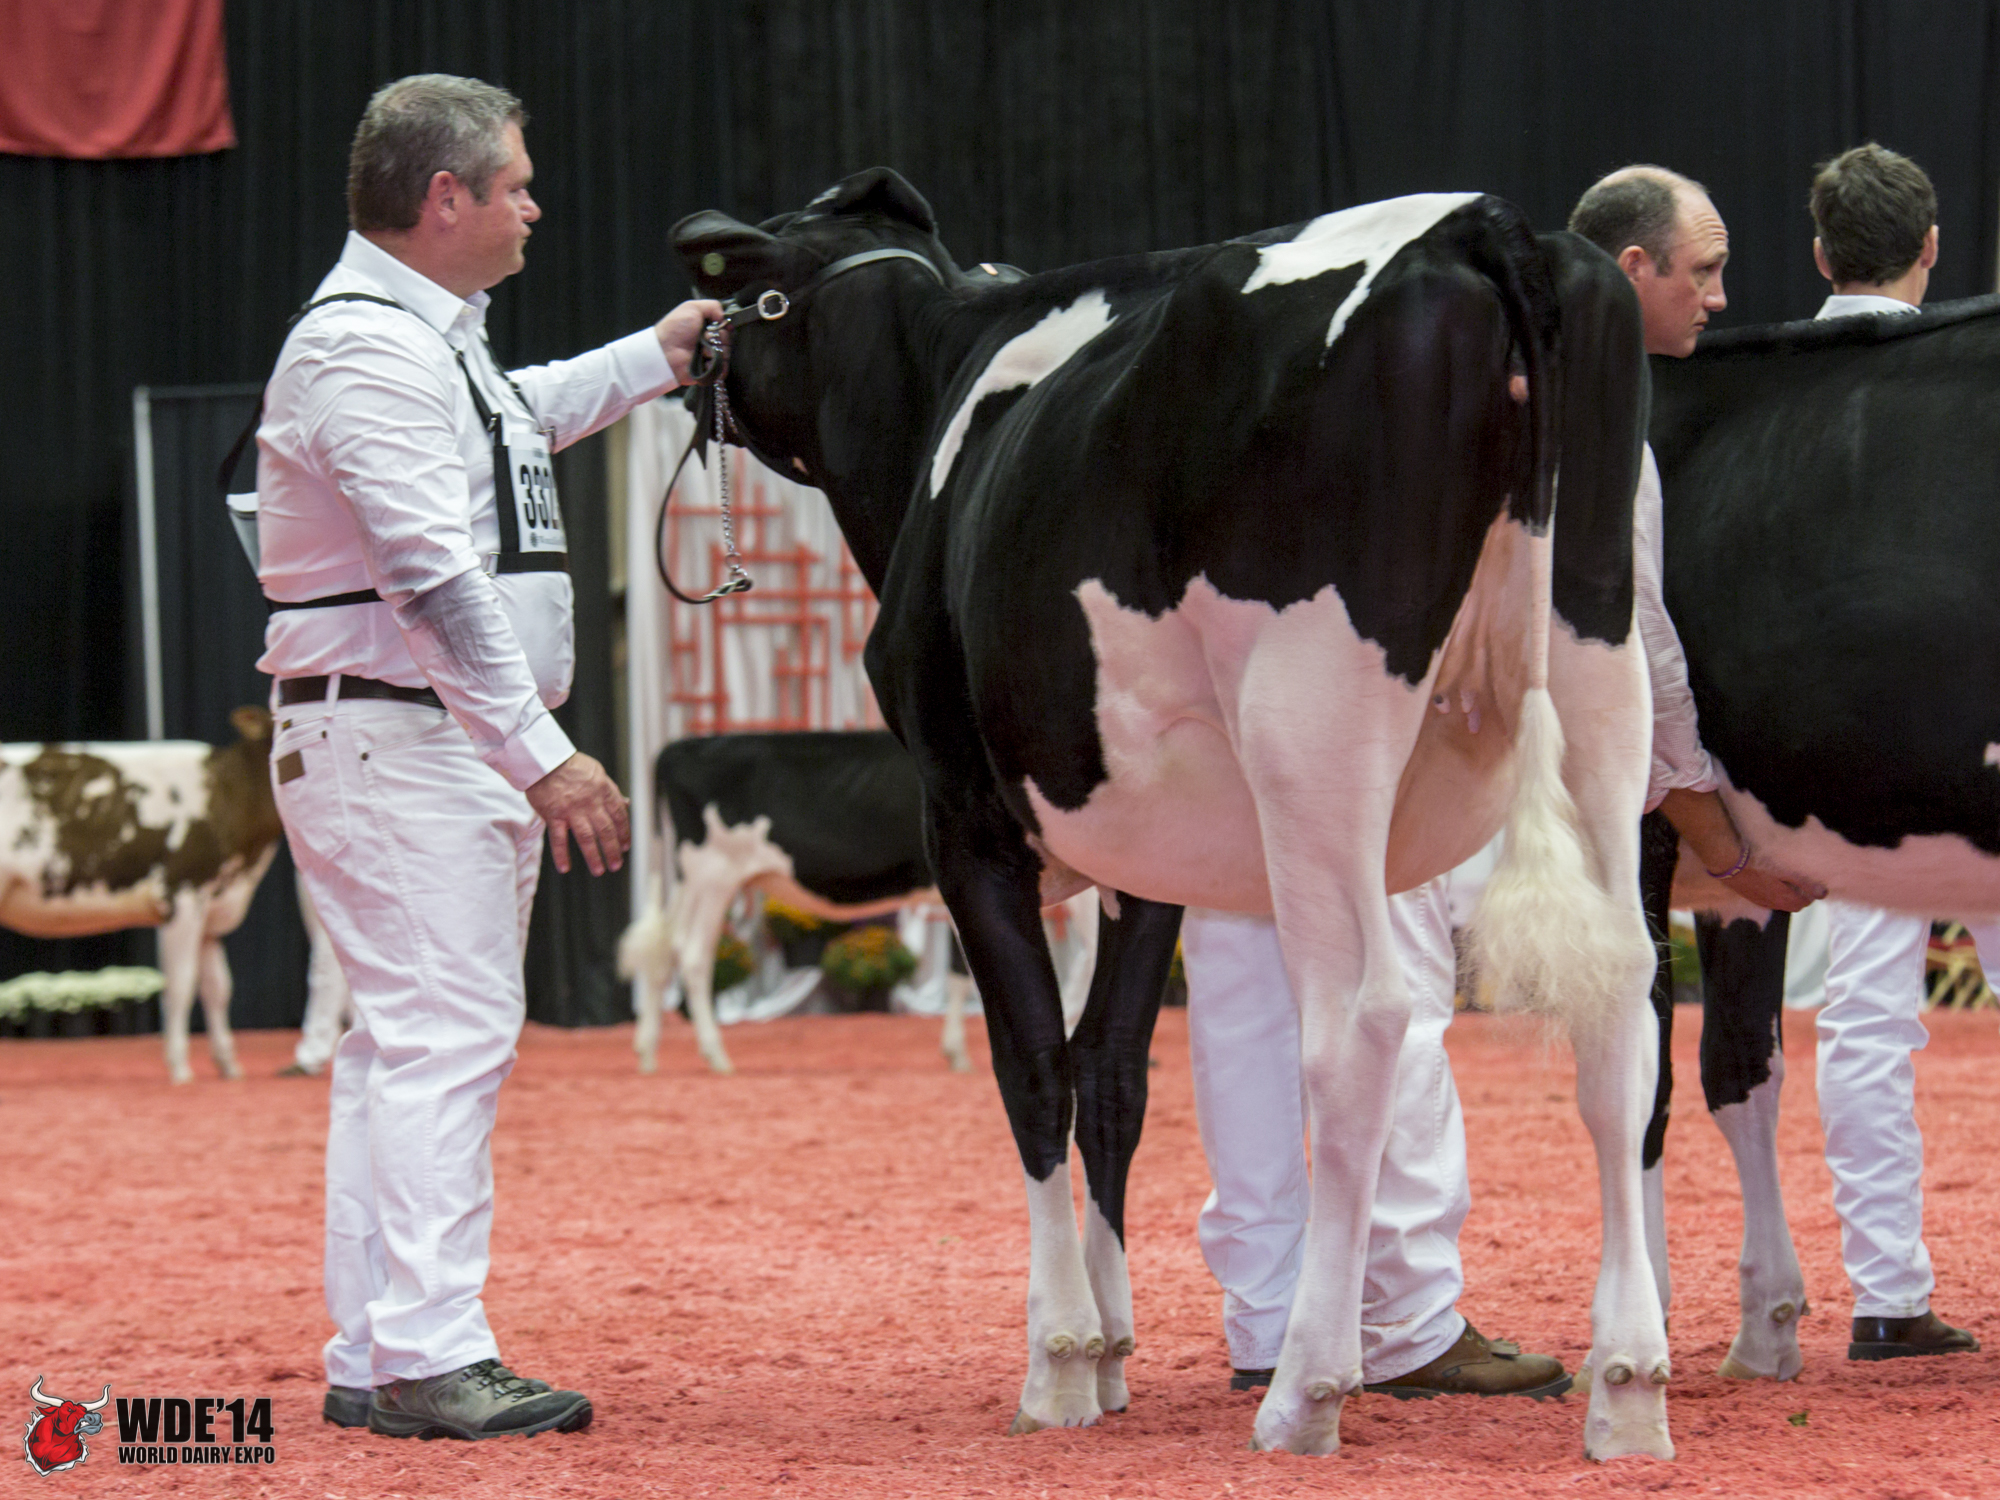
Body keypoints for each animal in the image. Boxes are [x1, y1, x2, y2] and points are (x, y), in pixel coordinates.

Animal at [0, 706, 281, 1083]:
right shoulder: (183, 894)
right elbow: (181, 984)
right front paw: (179, 1068)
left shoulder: (211, 909)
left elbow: (218, 988)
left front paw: (229, 1066)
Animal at [619, 730, 1098, 1075]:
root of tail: (679, 746)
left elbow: (962, 971)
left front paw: (958, 1054)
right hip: (712, 872)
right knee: (693, 955)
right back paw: (716, 1056)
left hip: (693, 881)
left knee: (662, 953)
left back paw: (647, 1053)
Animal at [670, 168, 1664, 1458]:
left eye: (742, 289)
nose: (683, 363)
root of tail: (1475, 221)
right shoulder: (1146, 863)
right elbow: (1111, 1076)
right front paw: (1108, 1354)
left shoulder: (964, 823)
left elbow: (1034, 1069)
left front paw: (1057, 1362)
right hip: (1601, 678)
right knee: (1622, 1005)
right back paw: (1627, 1387)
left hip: (1311, 725)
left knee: (1360, 1024)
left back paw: (1305, 1390)